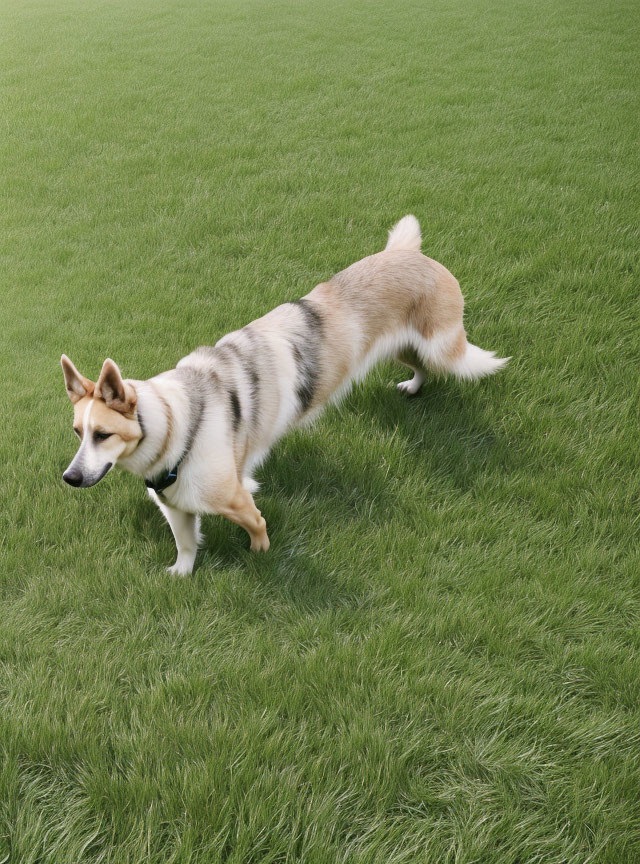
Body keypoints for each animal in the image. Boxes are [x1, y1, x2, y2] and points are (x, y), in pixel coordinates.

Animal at [62, 216, 508, 572]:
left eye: (103, 435)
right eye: (78, 433)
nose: (69, 478)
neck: (178, 422)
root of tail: (408, 252)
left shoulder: (234, 498)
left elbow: (257, 524)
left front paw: (260, 554)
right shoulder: (176, 506)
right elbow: (186, 546)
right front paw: (180, 575)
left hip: (442, 346)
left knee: (453, 361)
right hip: (404, 347)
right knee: (420, 368)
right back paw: (412, 387)